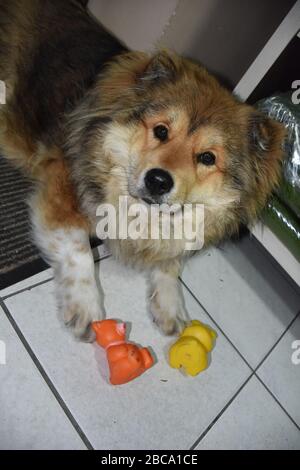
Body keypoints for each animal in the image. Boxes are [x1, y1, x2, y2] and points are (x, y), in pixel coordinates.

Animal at [0, 0, 286, 342]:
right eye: (161, 131)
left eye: (207, 157)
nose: (158, 180)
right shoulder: (61, 182)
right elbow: (78, 247)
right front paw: (85, 304)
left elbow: (171, 261)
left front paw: (170, 304)